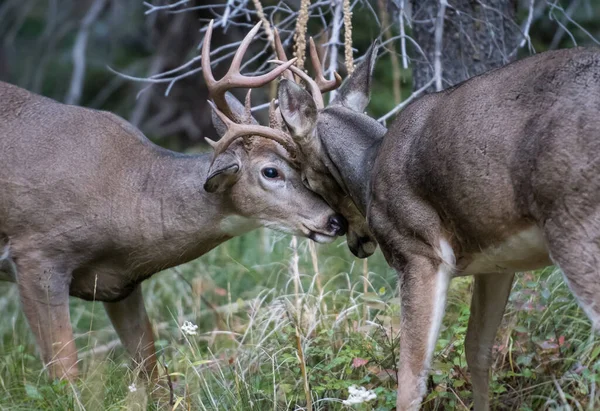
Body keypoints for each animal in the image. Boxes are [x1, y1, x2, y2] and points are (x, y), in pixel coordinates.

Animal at [0, 21, 346, 384]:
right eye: (271, 171)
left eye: (305, 168)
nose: (334, 221)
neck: (125, 199)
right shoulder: (37, 254)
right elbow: (66, 374)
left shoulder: (120, 284)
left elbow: (148, 367)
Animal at [276, 42, 600, 411]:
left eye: (305, 177)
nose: (353, 239)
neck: (370, 168)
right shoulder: (496, 260)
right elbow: (477, 349)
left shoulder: (417, 251)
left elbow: (411, 379)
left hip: (574, 222)